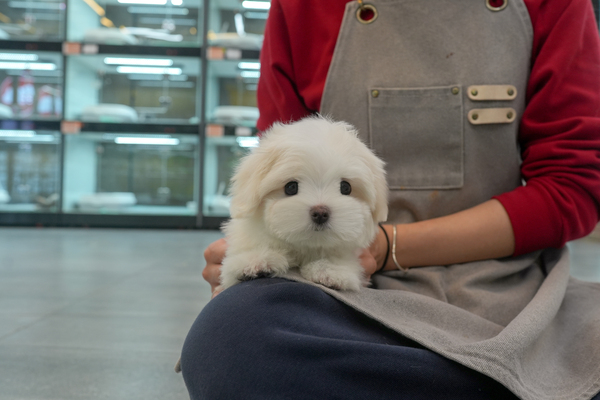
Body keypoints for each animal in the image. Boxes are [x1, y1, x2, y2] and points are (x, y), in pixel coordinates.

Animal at [219, 116, 388, 291]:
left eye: (346, 187)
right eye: (291, 187)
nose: (320, 213)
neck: (305, 246)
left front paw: (330, 270)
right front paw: (255, 260)